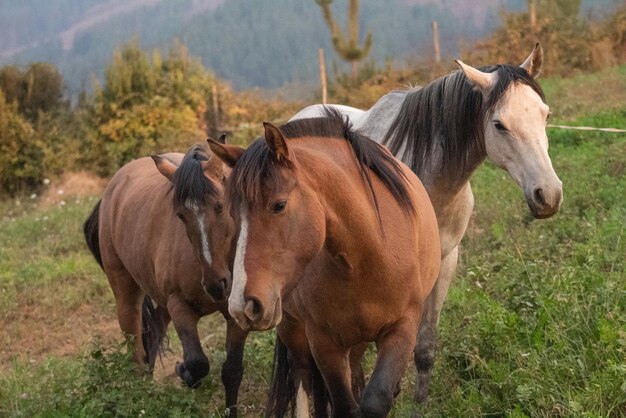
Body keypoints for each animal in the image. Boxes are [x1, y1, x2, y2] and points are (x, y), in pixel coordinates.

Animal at [82, 142, 246, 416]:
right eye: (180, 215)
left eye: (220, 206)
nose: (216, 285)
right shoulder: (179, 305)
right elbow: (197, 364)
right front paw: (184, 371)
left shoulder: (236, 314)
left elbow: (232, 372)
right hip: (127, 296)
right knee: (136, 353)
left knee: (154, 335)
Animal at [208, 109, 438, 416]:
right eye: (233, 213)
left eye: (279, 205)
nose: (242, 306)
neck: (366, 258)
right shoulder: (324, 341)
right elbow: (343, 404)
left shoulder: (403, 328)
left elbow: (375, 400)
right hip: (292, 327)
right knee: (302, 374)